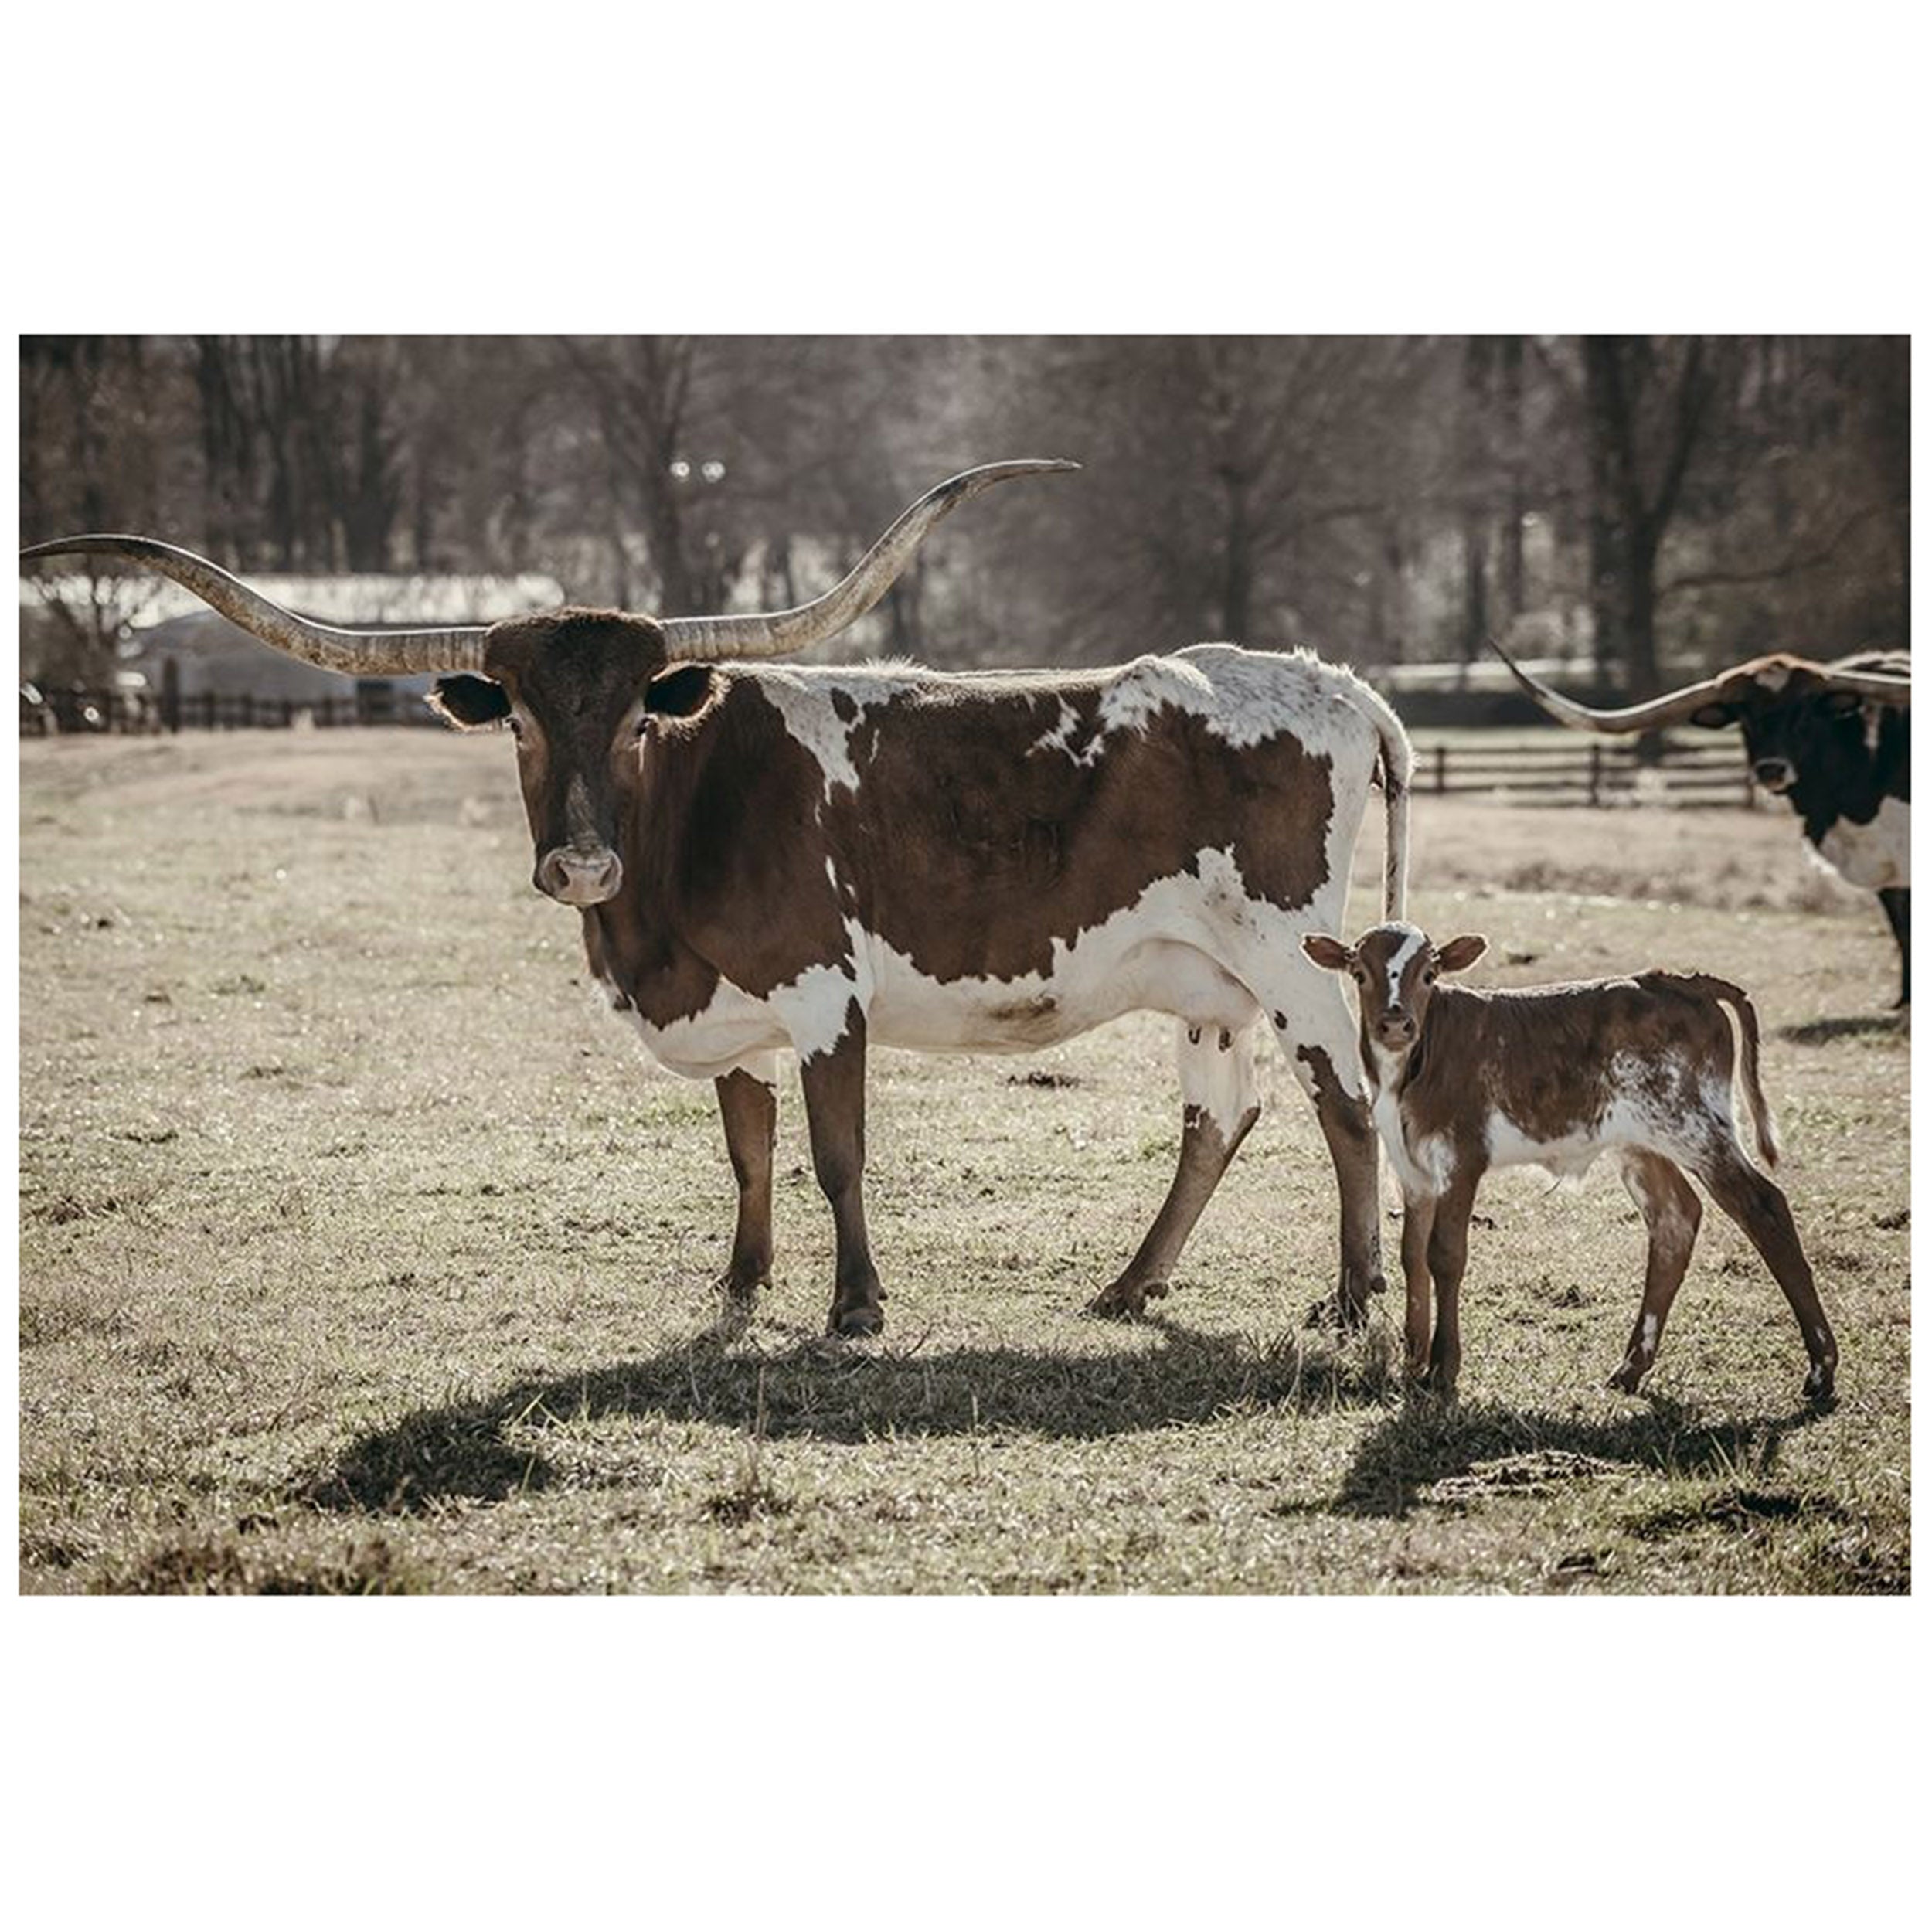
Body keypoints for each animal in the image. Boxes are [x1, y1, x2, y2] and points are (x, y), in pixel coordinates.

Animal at [23, 462, 1414, 1340]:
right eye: (518, 719)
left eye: (643, 715)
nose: (582, 864)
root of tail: (1335, 680)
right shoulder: (726, 1018)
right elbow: (747, 1152)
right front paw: (740, 1285)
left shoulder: (824, 995)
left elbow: (836, 1153)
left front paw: (856, 1306)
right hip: (1209, 982)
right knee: (1218, 1119)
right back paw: (1133, 1287)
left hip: (1293, 960)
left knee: (1345, 1107)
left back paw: (1353, 1300)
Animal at [1302, 921, 1838, 1404]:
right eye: (1359, 972)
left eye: (1429, 974)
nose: (1396, 1024)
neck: (1411, 1067)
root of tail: (1677, 982)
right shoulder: (1413, 1168)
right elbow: (1412, 1254)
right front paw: (1413, 1360)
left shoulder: (1462, 1159)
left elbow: (1444, 1255)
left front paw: (1442, 1367)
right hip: (1642, 1140)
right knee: (1675, 1220)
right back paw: (1630, 1368)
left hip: (1694, 1124)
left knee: (1764, 1207)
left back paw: (1821, 1368)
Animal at [1489, 639, 1912, 1005]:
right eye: (1743, 714)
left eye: (1806, 709)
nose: (1771, 769)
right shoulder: (1888, 870)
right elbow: (1899, 927)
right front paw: (1902, 1001)